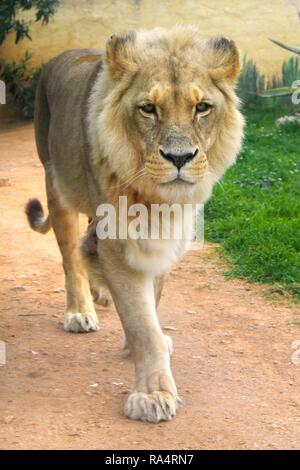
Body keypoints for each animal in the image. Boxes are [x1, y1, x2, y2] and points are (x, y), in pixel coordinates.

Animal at [25, 24, 245, 422]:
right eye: (148, 109)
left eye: (202, 108)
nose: (179, 158)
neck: (157, 201)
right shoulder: (119, 244)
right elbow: (144, 325)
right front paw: (152, 394)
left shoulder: (164, 237)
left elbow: (151, 304)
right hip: (56, 184)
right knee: (70, 259)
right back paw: (80, 310)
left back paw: (100, 292)